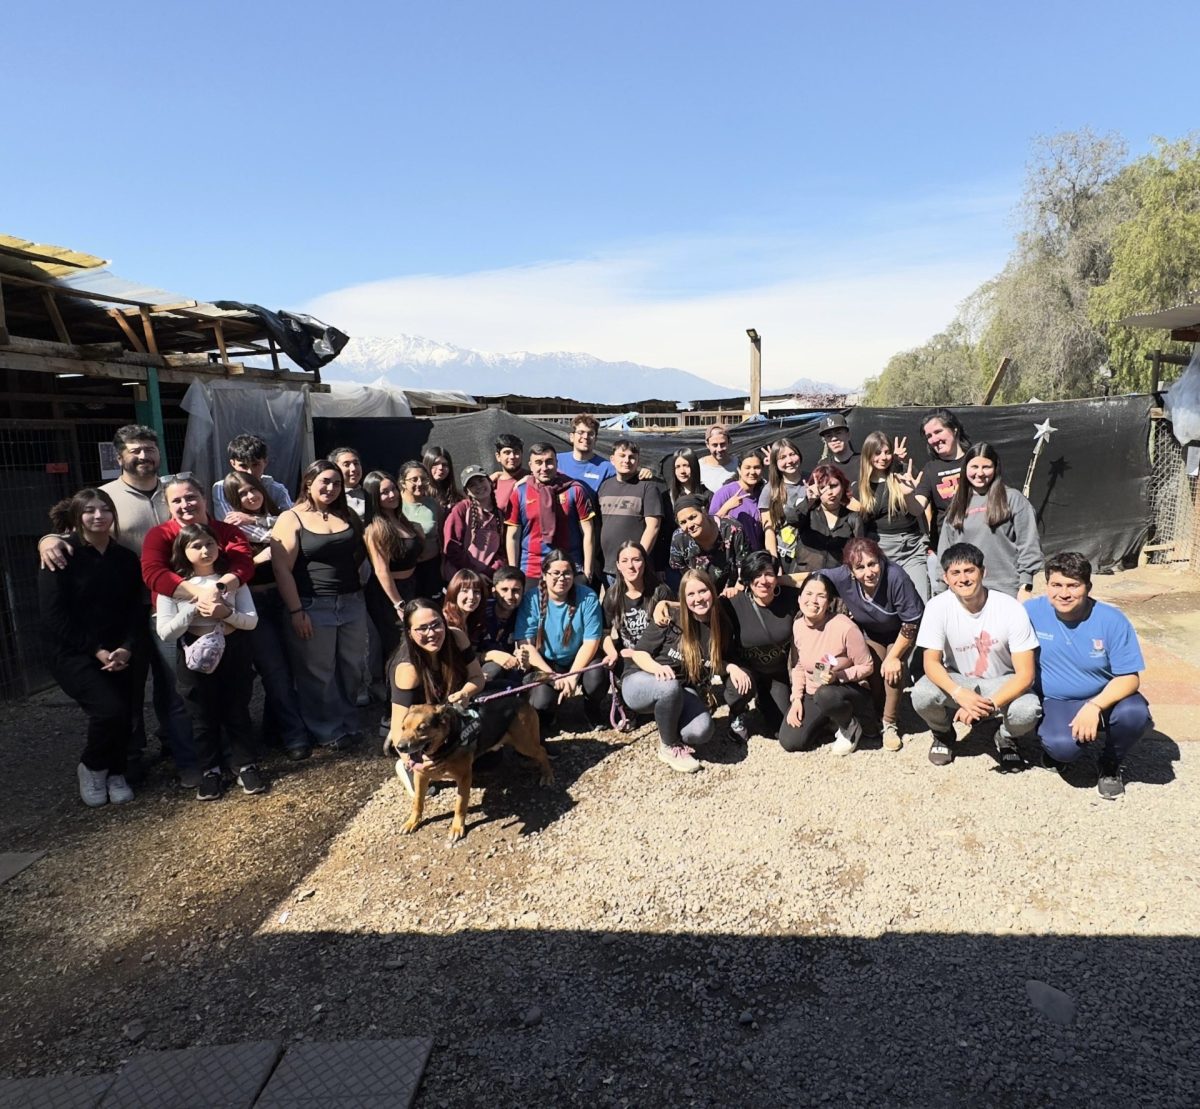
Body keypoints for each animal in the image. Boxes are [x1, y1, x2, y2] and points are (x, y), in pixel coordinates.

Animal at [391, 700, 554, 840]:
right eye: (403, 727)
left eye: (422, 728)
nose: (400, 747)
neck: (445, 744)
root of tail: (522, 700)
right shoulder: (421, 775)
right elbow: (417, 802)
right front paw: (412, 822)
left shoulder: (464, 777)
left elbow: (460, 805)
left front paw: (457, 828)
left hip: (523, 743)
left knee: (542, 751)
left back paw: (547, 775)